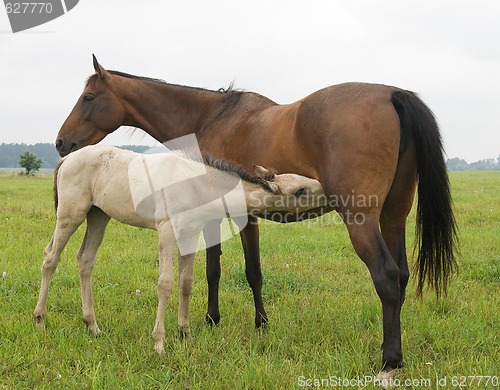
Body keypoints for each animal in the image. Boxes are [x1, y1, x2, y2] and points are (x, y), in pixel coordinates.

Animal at [53, 55, 458, 372]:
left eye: (88, 97)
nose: (60, 142)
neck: (208, 118)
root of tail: (391, 94)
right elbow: (242, 271)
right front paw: (254, 323)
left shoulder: (227, 215)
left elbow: (226, 270)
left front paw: (217, 319)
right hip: (393, 216)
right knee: (401, 275)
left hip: (362, 221)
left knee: (386, 276)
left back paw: (390, 359)